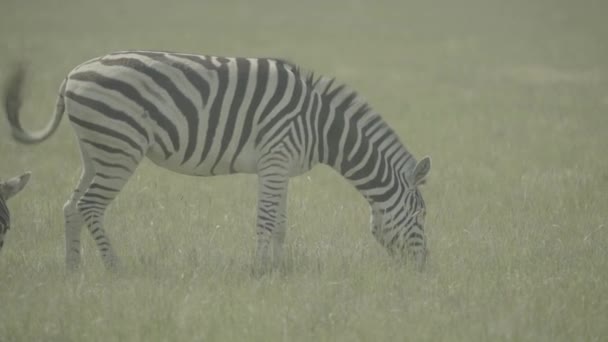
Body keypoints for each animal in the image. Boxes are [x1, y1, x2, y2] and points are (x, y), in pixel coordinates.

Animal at [4, 50, 432, 272]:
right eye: (423, 215)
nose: (425, 269)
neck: (321, 125)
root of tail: (71, 75)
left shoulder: (282, 167)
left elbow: (280, 224)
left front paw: (279, 269)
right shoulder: (275, 158)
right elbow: (265, 221)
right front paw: (260, 272)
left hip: (97, 150)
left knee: (71, 205)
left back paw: (73, 269)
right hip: (119, 149)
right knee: (91, 206)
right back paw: (114, 268)